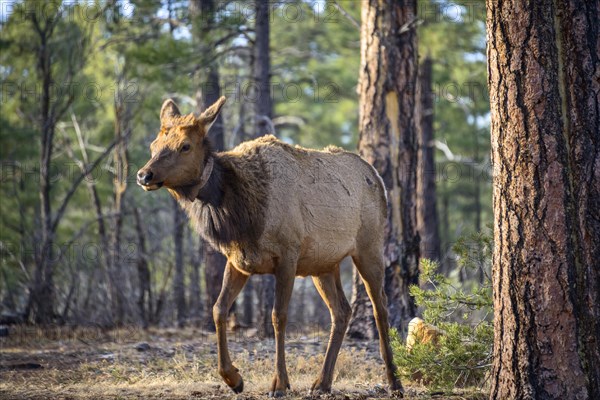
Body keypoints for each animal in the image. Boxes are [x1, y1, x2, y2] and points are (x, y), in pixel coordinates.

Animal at [137, 97, 404, 396]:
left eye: (185, 145)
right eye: (154, 145)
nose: (144, 175)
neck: (241, 215)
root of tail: (377, 178)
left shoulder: (288, 255)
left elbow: (278, 316)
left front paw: (279, 383)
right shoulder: (238, 260)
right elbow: (219, 309)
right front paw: (233, 378)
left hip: (369, 246)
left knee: (380, 307)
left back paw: (394, 381)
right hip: (324, 263)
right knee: (342, 311)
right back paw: (322, 382)